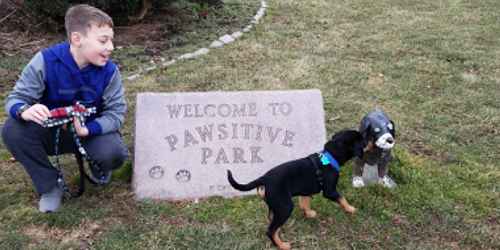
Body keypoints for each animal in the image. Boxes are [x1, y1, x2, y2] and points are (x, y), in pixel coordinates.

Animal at [229, 130, 366, 249]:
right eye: (360, 139)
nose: (367, 138)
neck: (330, 157)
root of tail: (264, 178)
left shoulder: (306, 191)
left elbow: (305, 202)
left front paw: (309, 213)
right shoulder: (330, 191)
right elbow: (342, 198)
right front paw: (350, 209)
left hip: (276, 208)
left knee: (273, 225)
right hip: (285, 207)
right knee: (270, 230)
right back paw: (282, 246)